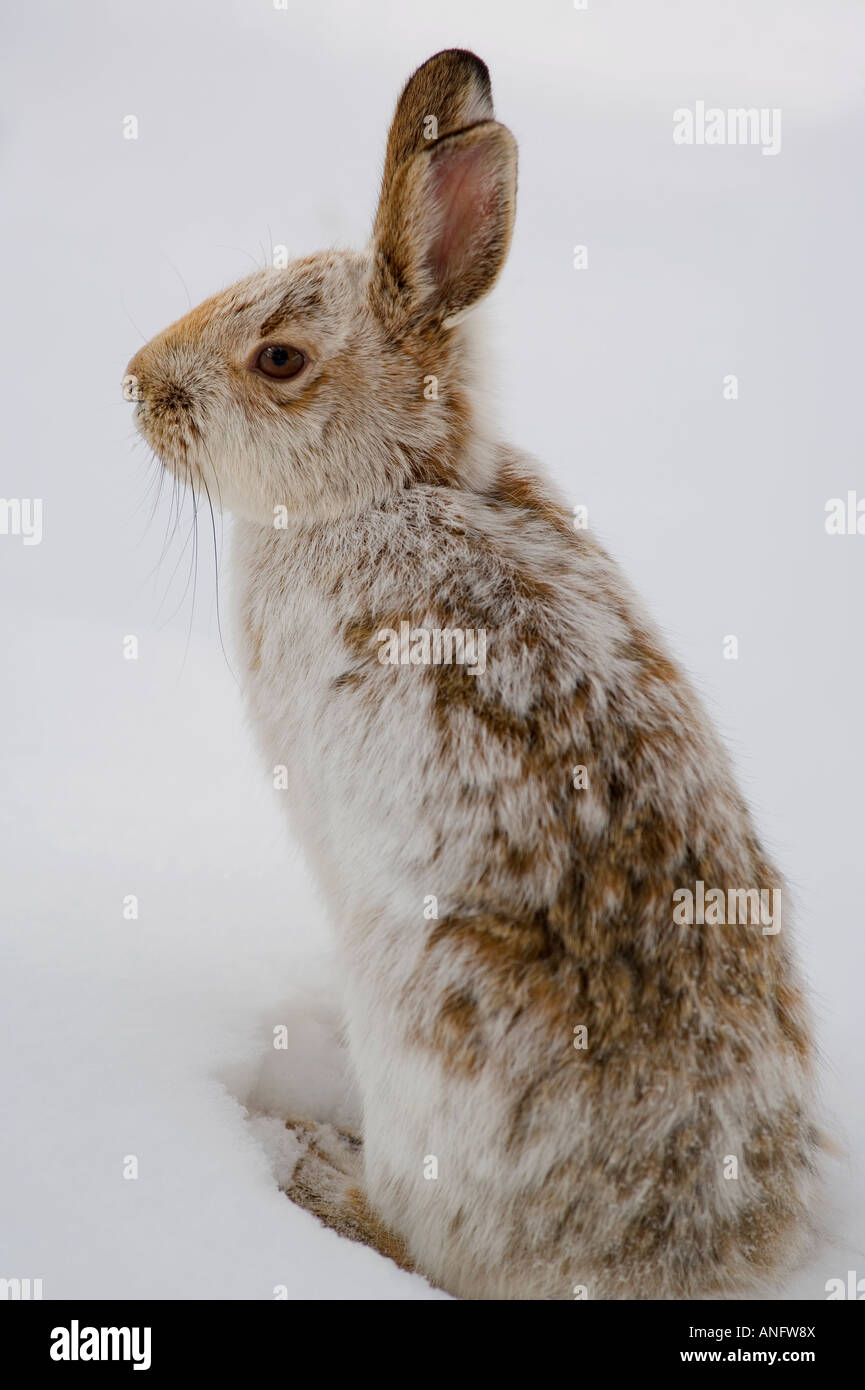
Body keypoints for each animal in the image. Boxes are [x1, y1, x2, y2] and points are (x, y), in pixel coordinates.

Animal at [125, 49, 822, 1299]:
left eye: (279, 359)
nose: (135, 383)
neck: (391, 484)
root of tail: (680, 1256)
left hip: (414, 1022)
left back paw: (315, 1171)